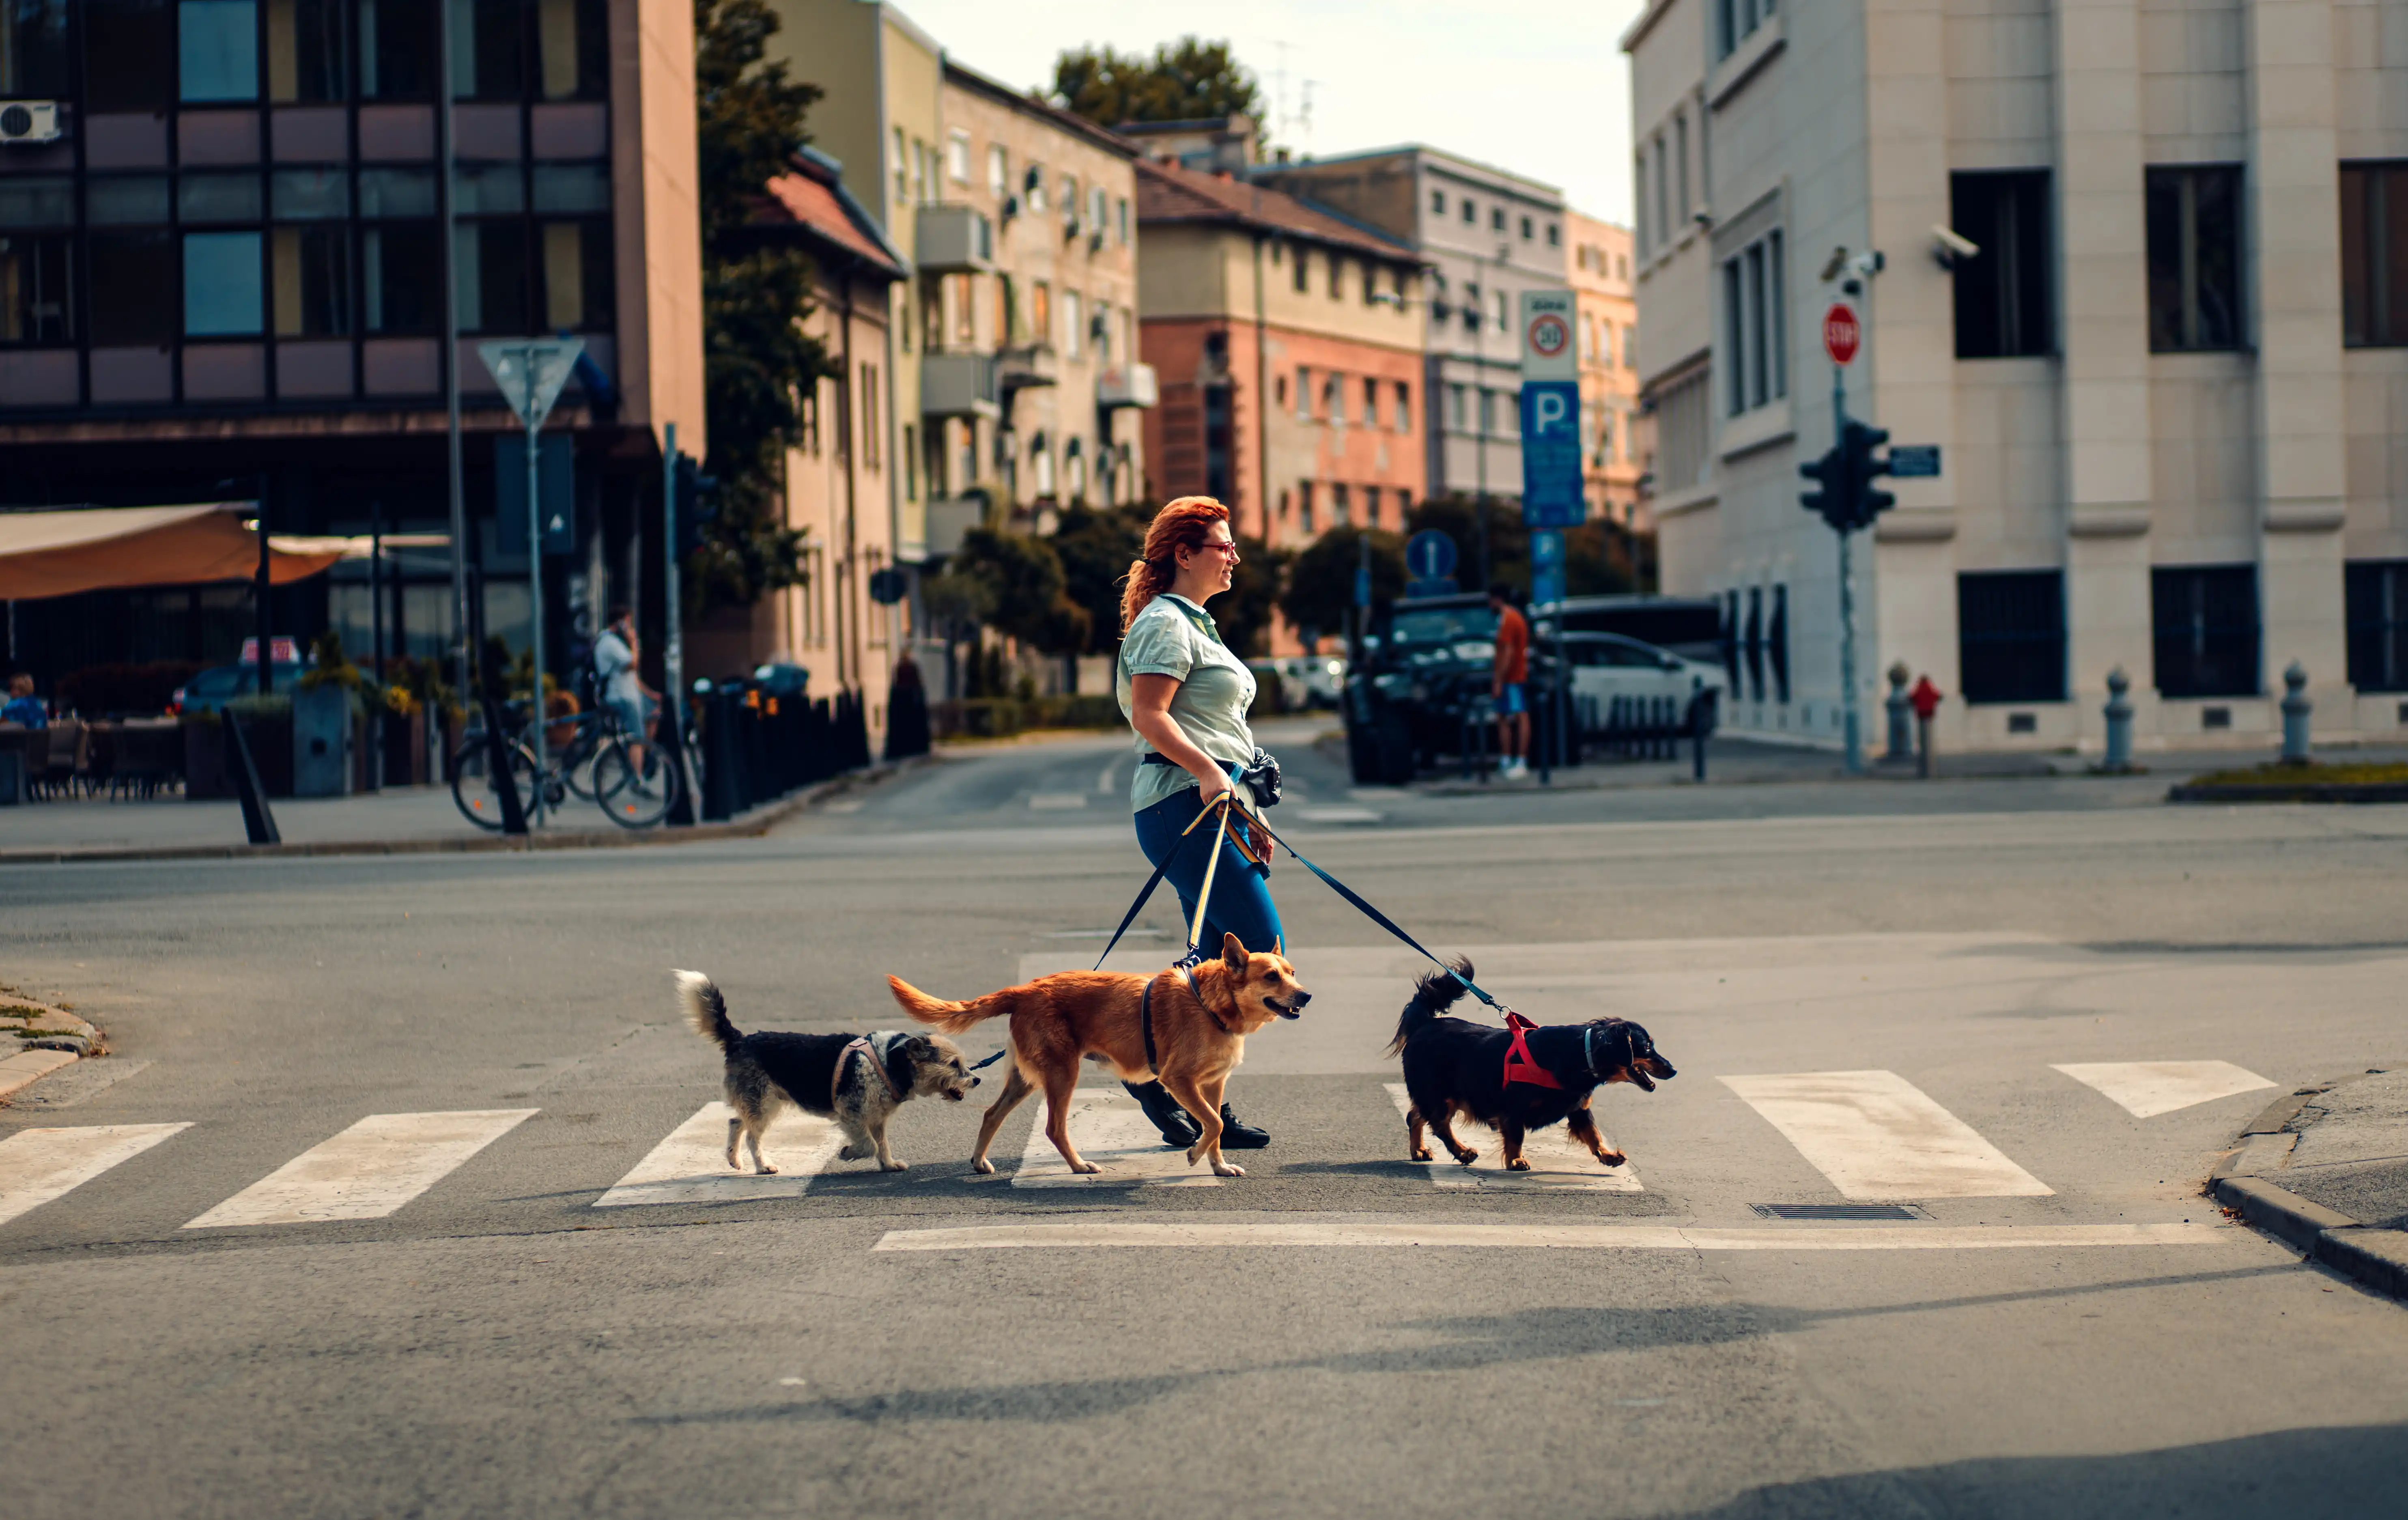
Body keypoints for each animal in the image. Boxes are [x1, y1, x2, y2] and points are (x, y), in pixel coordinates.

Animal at [669, 973, 977, 1176]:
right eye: (954, 1064)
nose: (976, 1079)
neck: (890, 1061)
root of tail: (739, 1040)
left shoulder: (877, 1119)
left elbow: (882, 1144)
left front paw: (888, 1165)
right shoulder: (851, 1115)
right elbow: (868, 1145)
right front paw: (848, 1153)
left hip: (764, 1102)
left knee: (736, 1122)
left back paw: (735, 1161)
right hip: (763, 1103)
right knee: (751, 1137)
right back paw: (763, 1166)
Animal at [886, 934, 1310, 1185]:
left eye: (1292, 972)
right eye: (1271, 977)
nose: (1305, 996)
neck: (1210, 1002)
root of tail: (1026, 989)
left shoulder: (1212, 1084)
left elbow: (1216, 1126)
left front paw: (1218, 1165)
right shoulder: (1179, 1080)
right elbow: (1214, 1122)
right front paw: (1194, 1154)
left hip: (1026, 1078)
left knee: (992, 1114)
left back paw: (978, 1161)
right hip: (1062, 1074)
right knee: (1054, 1128)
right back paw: (1078, 1167)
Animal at [1397, 963, 1676, 1176]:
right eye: (1647, 1047)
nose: (1673, 1070)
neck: (1578, 1054)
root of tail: (1424, 1025)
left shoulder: (1579, 1108)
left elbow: (1593, 1134)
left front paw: (1608, 1156)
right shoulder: (1513, 1108)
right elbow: (1516, 1137)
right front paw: (1516, 1160)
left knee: (1416, 1116)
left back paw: (1419, 1150)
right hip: (1441, 1094)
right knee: (1439, 1125)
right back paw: (1463, 1152)